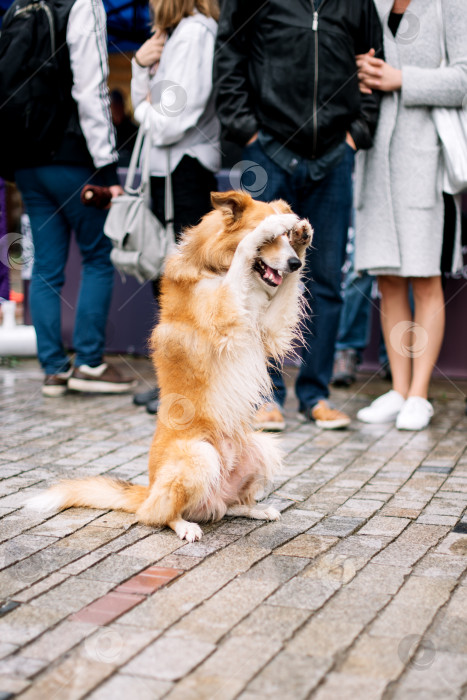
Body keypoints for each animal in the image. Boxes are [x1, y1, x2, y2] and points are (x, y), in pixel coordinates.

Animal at [29, 190, 314, 540]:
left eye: (287, 240)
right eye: (272, 239)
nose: (294, 262)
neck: (212, 266)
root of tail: (149, 489)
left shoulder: (269, 328)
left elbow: (283, 295)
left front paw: (303, 235)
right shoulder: (224, 313)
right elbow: (244, 249)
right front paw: (266, 229)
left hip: (261, 445)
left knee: (228, 505)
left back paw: (255, 510)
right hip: (200, 456)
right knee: (158, 514)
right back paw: (185, 526)